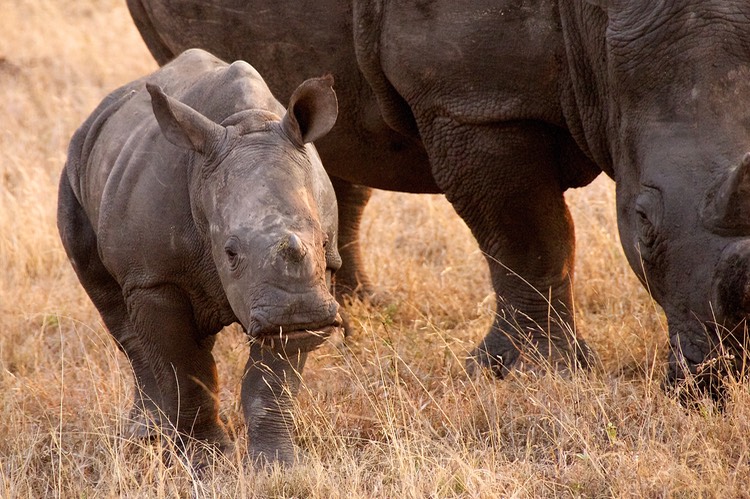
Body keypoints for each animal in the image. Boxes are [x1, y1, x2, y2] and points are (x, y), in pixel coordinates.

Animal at [57, 48, 341, 464]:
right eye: (231, 252)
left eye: (322, 243)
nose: (299, 314)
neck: (246, 124)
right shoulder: (152, 278)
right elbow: (185, 371)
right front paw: (208, 461)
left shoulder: (313, 282)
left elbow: (272, 384)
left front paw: (277, 466)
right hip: (74, 171)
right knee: (124, 327)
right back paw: (147, 435)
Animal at [127, 1, 750, 397]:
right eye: (642, 221)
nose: (721, 376)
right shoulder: (475, 102)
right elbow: (530, 237)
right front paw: (533, 375)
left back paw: (358, 312)